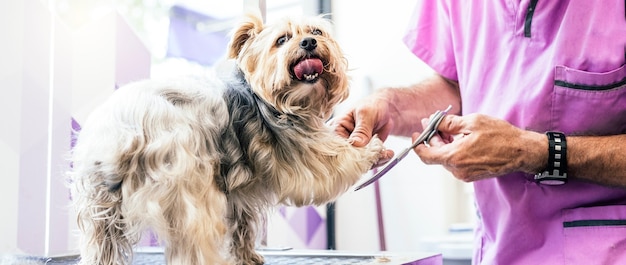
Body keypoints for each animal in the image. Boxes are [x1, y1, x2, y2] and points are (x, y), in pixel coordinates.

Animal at [67, 12, 380, 264]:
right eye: (282, 40)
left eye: (317, 32)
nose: (309, 43)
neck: (272, 100)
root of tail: (122, 129)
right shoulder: (300, 153)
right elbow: (334, 159)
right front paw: (373, 150)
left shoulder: (239, 190)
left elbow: (242, 225)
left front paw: (247, 256)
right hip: (186, 186)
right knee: (193, 242)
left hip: (101, 205)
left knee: (102, 243)